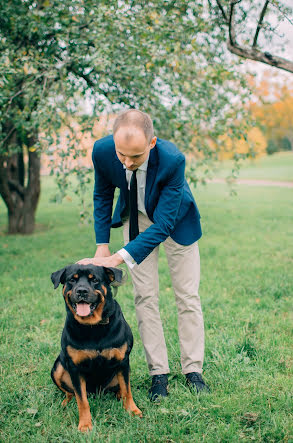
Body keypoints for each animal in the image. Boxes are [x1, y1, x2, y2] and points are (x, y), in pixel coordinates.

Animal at [50, 266, 141, 432]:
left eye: (94, 280)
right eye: (72, 279)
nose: (82, 290)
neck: (93, 327)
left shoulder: (123, 361)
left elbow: (127, 389)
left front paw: (132, 410)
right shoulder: (74, 367)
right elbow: (82, 400)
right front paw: (85, 424)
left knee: (121, 386)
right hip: (57, 368)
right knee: (71, 392)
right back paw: (66, 402)